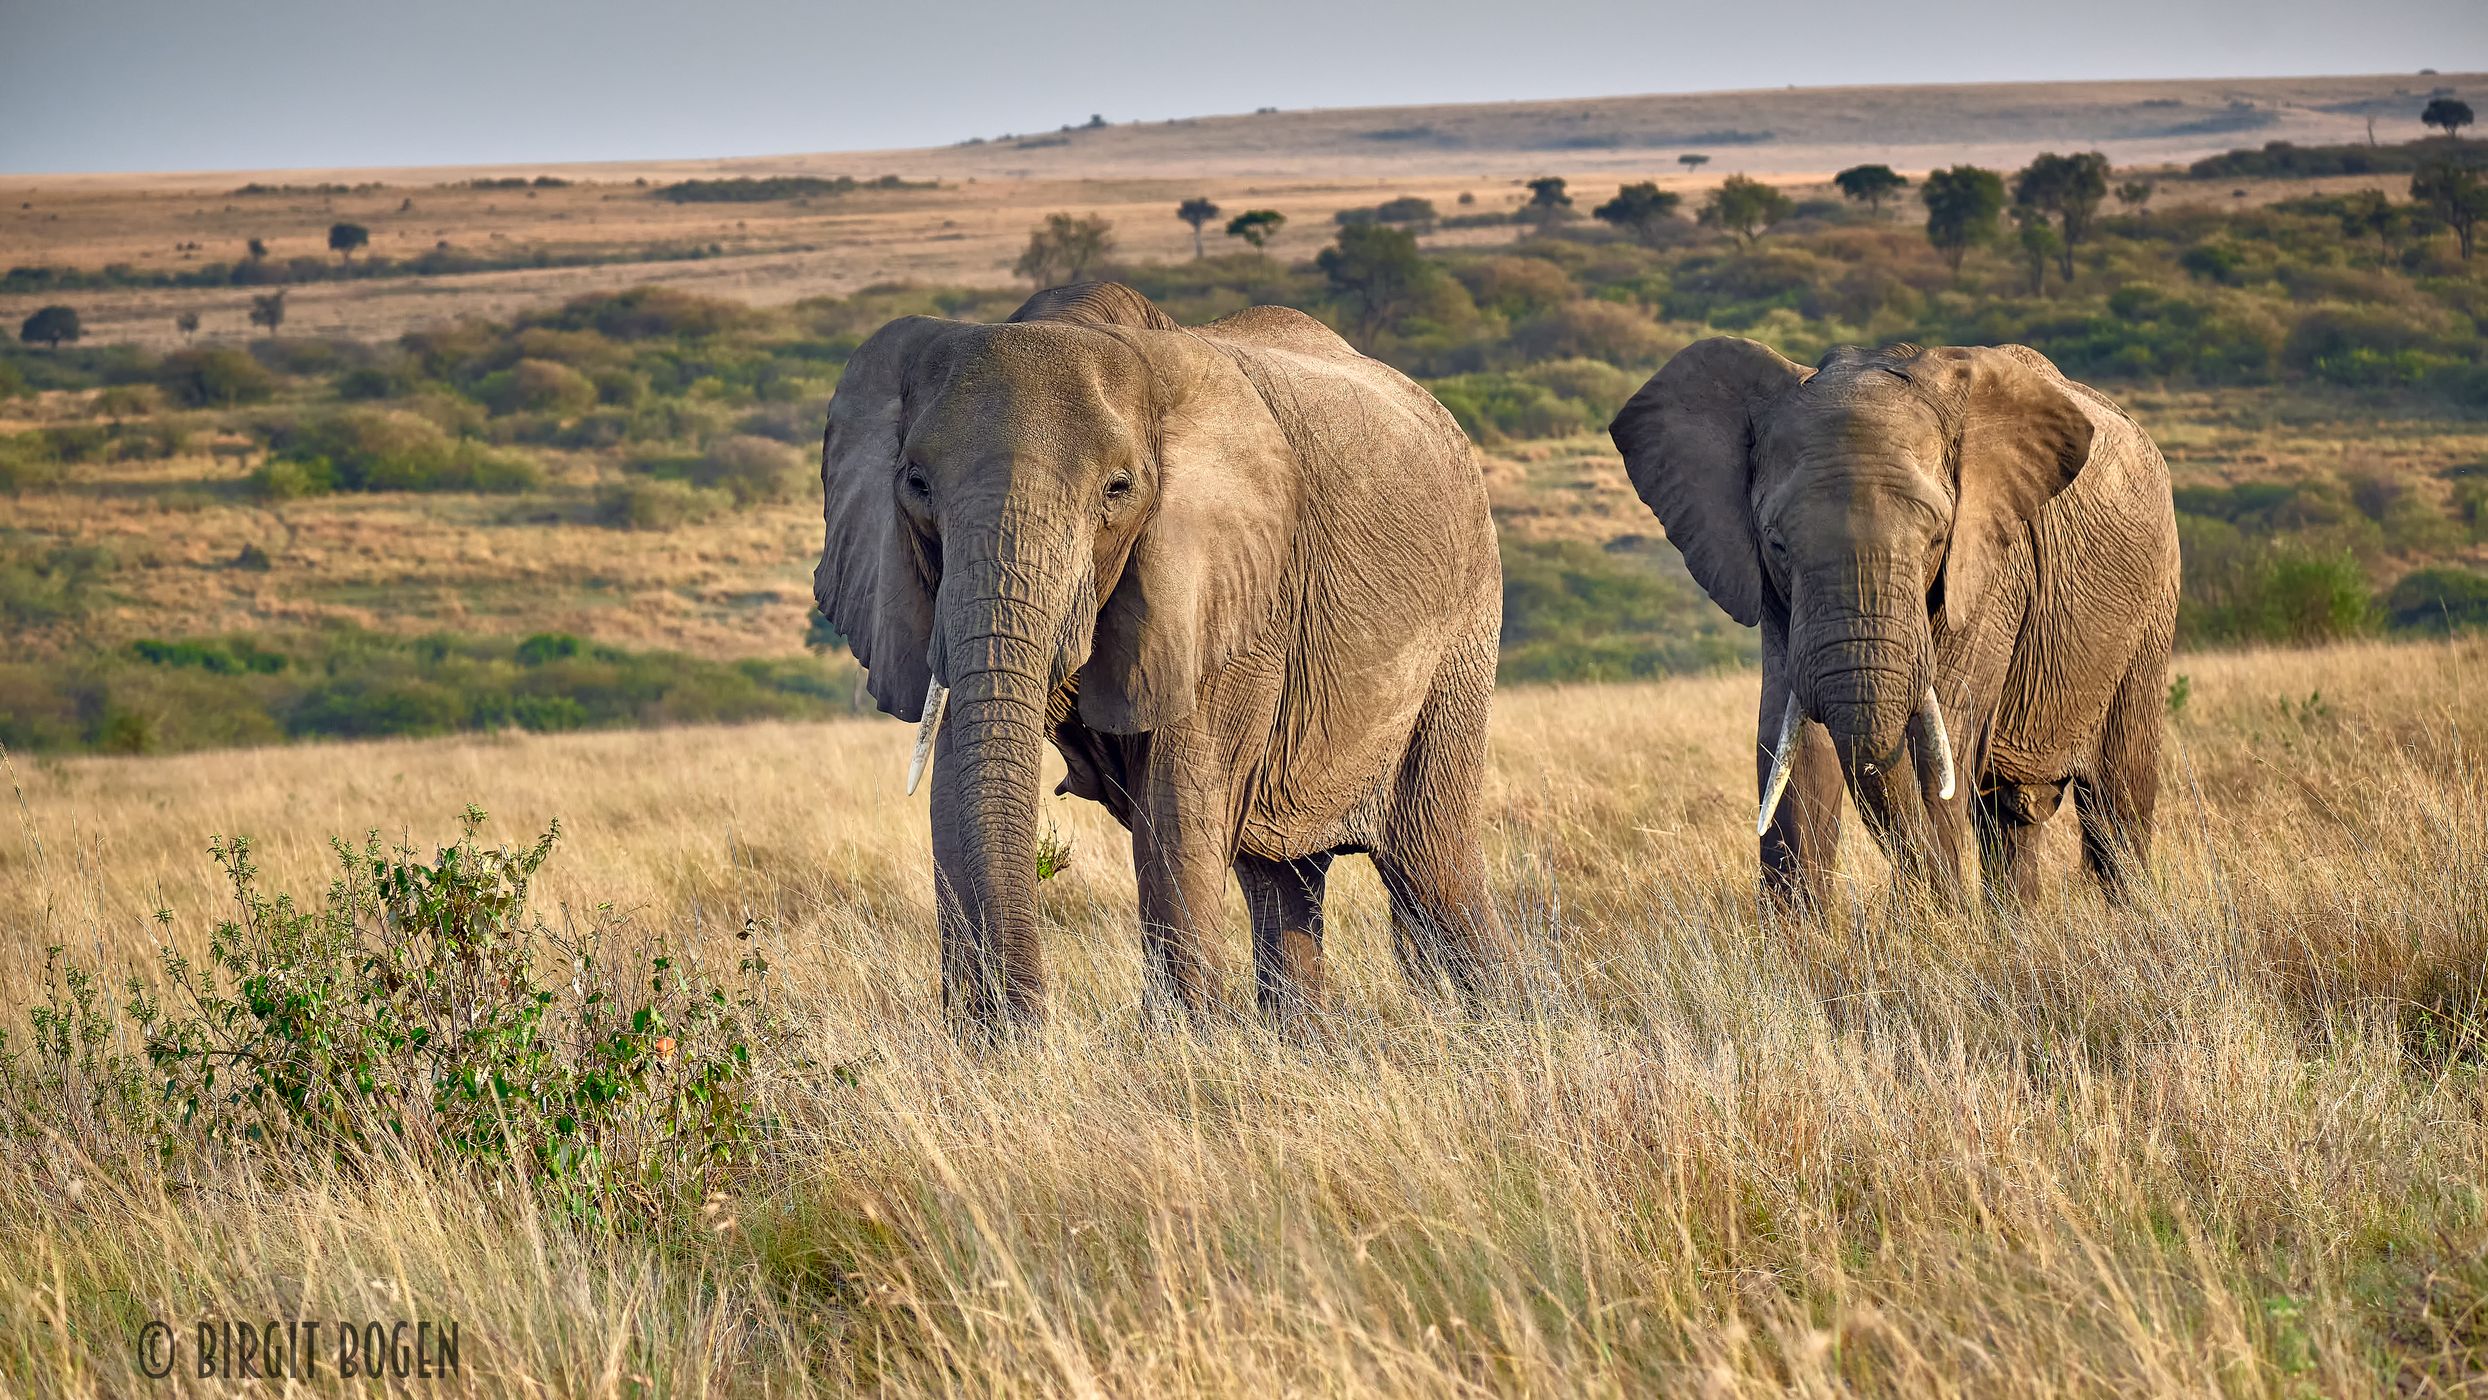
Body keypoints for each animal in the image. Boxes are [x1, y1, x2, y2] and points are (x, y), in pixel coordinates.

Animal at [815, 281, 1508, 1029]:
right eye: (916, 484)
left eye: (1117, 489)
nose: (1024, 1023)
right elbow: (951, 786)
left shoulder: (1236, 592)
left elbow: (1176, 807)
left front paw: (1185, 1042)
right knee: (1285, 878)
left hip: (1463, 629)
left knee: (1431, 869)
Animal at [1608, 338, 2179, 907]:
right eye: (1777, 544)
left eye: (1936, 538)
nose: (1945, 901)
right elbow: (1794, 749)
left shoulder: (1992, 567)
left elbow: (1939, 739)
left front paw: (1936, 924)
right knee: (2012, 818)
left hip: (2153, 607)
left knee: (2117, 801)